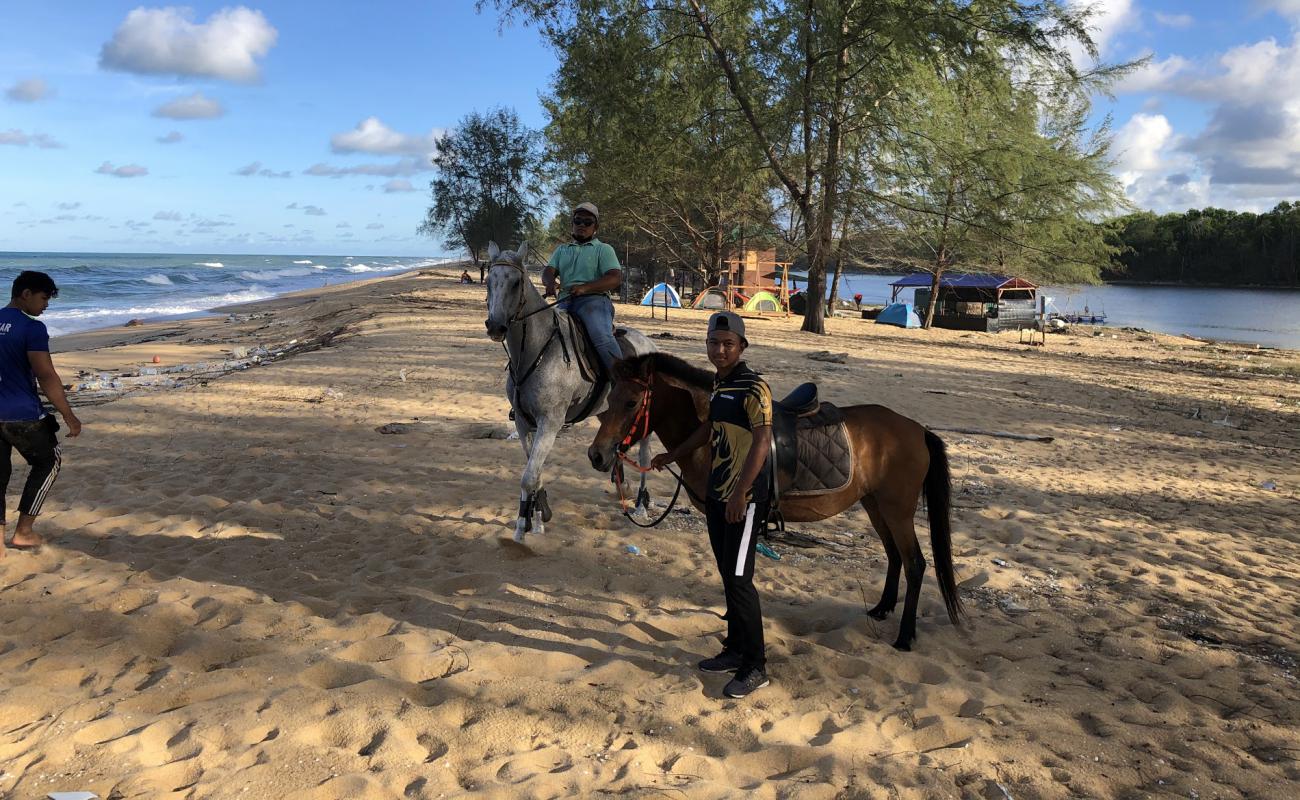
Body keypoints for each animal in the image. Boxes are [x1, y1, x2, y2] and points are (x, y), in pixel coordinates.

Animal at [483, 240, 655, 541]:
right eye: (489, 280)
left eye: (516, 282)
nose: (495, 326)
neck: (536, 350)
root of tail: (649, 343)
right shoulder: (524, 423)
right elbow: (535, 473)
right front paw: (536, 518)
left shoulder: (550, 422)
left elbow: (528, 476)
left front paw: (521, 529)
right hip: (607, 413)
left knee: (645, 453)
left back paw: (641, 505)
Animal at [590, 353, 967, 653]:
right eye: (610, 398)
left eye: (631, 402)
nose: (597, 454)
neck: (714, 437)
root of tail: (917, 429)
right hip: (874, 504)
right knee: (894, 556)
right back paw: (881, 609)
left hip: (897, 510)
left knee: (915, 563)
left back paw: (905, 636)